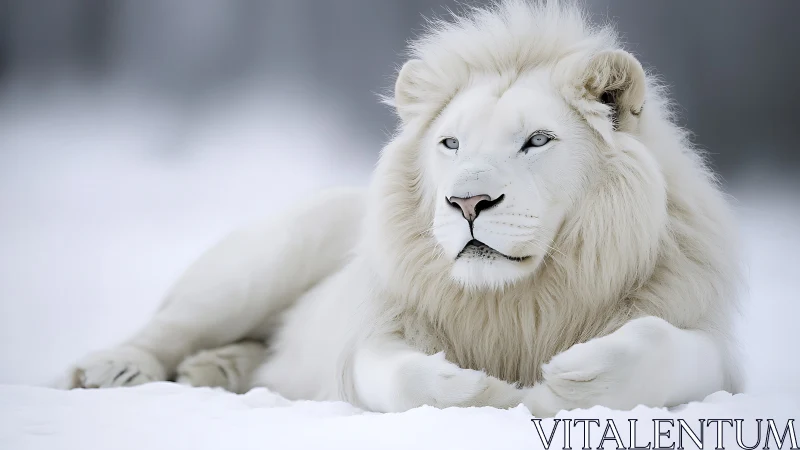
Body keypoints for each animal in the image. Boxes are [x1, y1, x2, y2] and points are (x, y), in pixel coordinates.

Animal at [60, 0, 743, 416]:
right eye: (451, 143)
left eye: (537, 140)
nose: (468, 201)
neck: (519, 301)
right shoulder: (372, 333)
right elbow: (397, 373)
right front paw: (478, 386)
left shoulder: (714, 354)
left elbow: (666, 347)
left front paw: (571, 371)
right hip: (267, 259)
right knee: (170, 326)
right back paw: (114, 371)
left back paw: (217, 370)